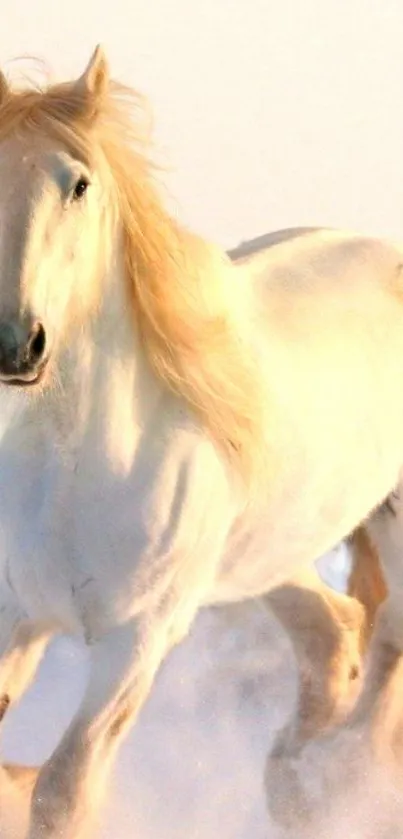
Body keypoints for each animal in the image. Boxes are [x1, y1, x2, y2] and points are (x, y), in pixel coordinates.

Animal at [1, 47, 403, 839]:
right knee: (334, 633)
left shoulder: (137, 641)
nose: (15, 343)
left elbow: (62, 791)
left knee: (383, 647)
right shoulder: (17, 615)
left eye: (79, 185)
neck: (74, 470)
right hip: (269, 548)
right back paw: (296, 785)